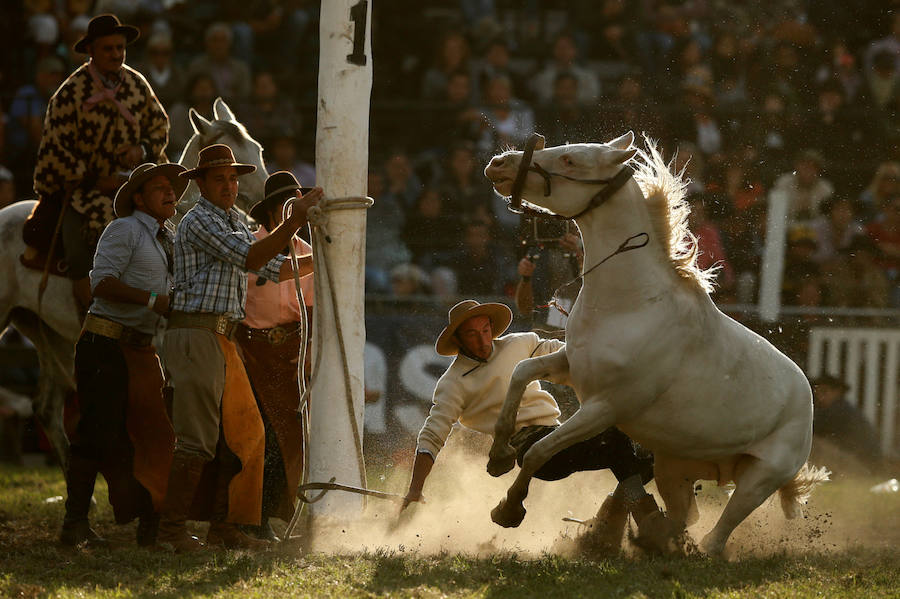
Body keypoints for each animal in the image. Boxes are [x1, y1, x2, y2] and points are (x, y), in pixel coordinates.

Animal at [482, 132, 829, 556]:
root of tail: (806, 398)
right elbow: (521, 372)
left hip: (759, 479)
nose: (498, 163)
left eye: (570, 160)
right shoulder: (570, 367)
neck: (630, 303)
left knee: (716, 535)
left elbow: (539, 451)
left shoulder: (605, 408)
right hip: (673, 470)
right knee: (682, 518)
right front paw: (499, 453)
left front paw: (509, 508)